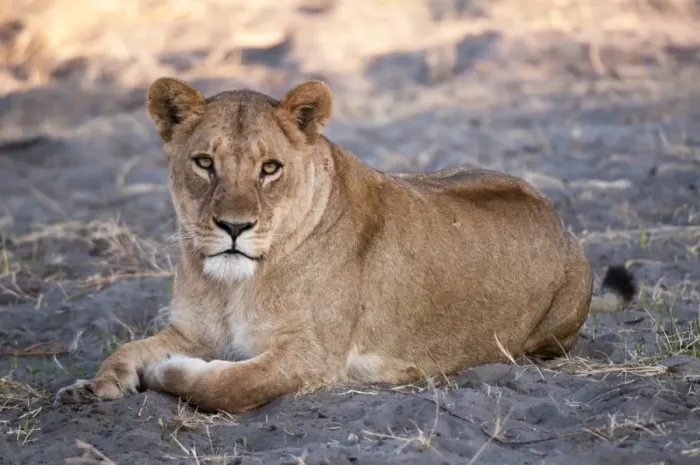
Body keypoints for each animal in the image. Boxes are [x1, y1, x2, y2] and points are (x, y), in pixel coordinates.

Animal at [54, 78, 636, 413]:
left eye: (270, 169)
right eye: (204, 163)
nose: (234, 227)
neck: (233, 285)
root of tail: (559, 222)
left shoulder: (313, 357)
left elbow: (229, 387)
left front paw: (166, 374)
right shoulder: (192, 331)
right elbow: (127, 348)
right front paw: (93, 385)